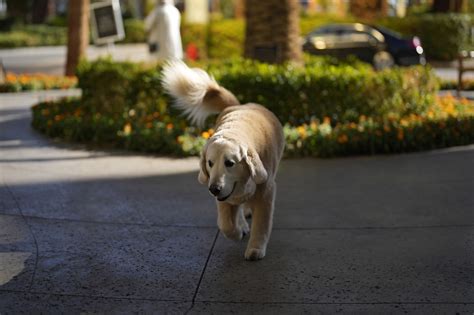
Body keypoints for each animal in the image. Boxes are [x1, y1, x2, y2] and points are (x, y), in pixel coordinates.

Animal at [161, 61, 284, 262]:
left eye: (230, 163)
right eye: (210, 163)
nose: (214, 189)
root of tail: (241, 105)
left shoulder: (266, 191)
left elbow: (262, 224)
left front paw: (256, 248)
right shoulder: (225, 196)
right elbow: (226, 223)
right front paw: (237, 231)